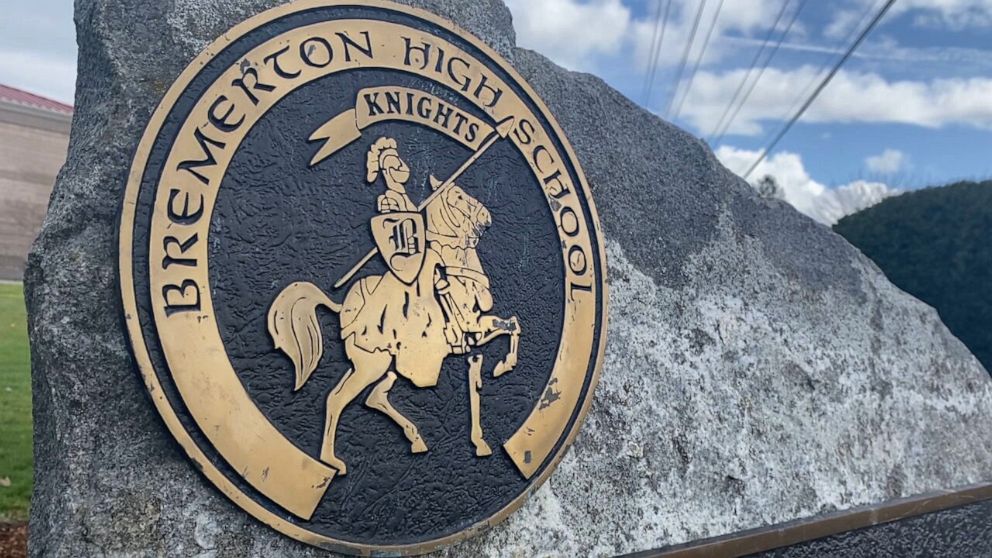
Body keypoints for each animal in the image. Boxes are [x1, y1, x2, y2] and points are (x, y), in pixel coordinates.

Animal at [268, 182, 524, 474]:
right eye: (458, 195)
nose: (486, 217)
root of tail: (342, 306)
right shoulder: (472, 324)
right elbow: (509, 327)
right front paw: (504, 366)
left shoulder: (473, 337)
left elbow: (502, 338)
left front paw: (480, 438)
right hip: (372, 365)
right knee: (339, 398)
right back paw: (331, 462)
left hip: (380, 366)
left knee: (372, 397)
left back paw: (414, 440)